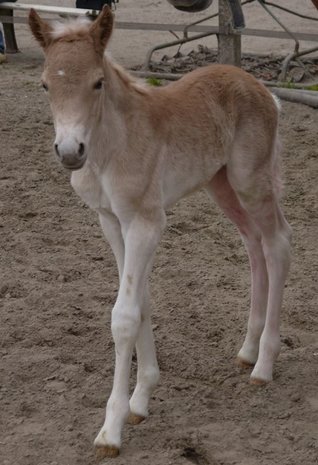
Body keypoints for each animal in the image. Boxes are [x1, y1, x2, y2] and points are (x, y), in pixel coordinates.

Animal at [29, 6, 290, 456]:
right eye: (46, 84)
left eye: (97, 82)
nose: (69, 152)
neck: (111, 147)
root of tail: (261, 88)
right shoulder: (112, 221)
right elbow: (142, 301)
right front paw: (141, 400)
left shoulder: (147, 222)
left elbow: (124, 315)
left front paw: (112, 428)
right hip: (220, 184)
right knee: (253, 243)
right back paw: (247, 349)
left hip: (250, 181)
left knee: (277, 245)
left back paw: (264, 364)